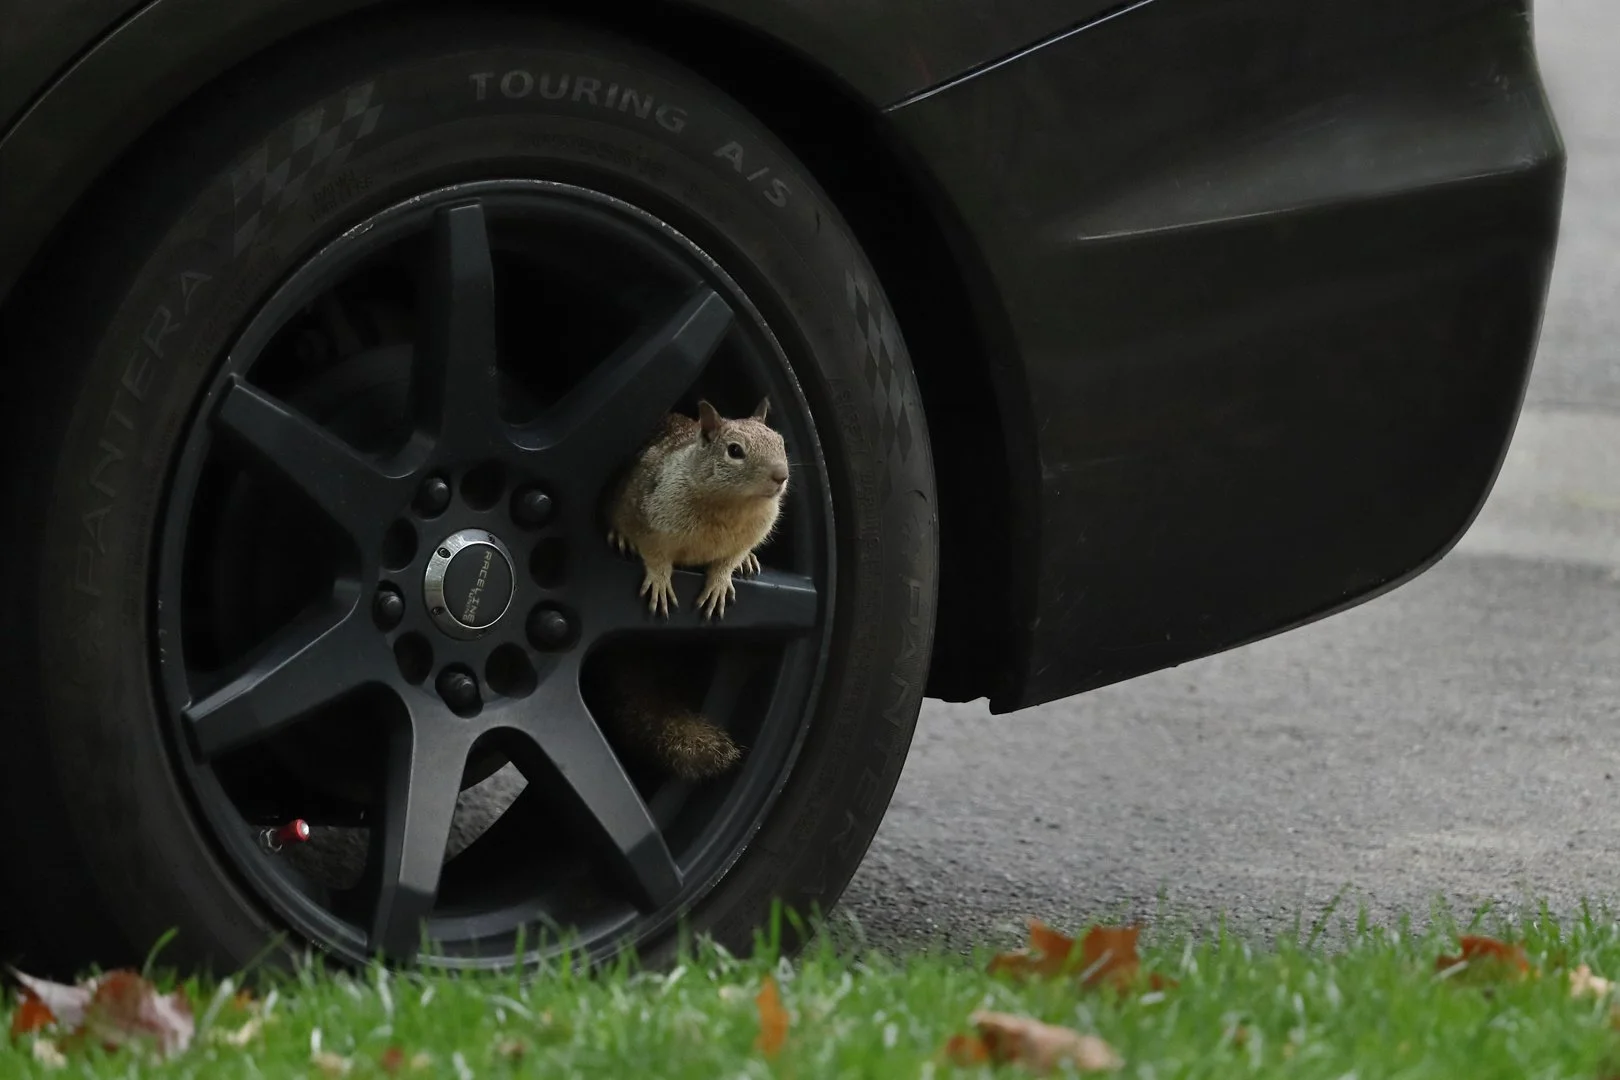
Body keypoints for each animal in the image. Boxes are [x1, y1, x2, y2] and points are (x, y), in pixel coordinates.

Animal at [597, 397, 790, 780]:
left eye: (780, 442)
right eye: (734, 451)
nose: (781, 476)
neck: (732, 507)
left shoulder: (745, 538)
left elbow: (728, 560)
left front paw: (722, 580)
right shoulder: (650, 516)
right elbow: (655, 554)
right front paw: (659, 579)